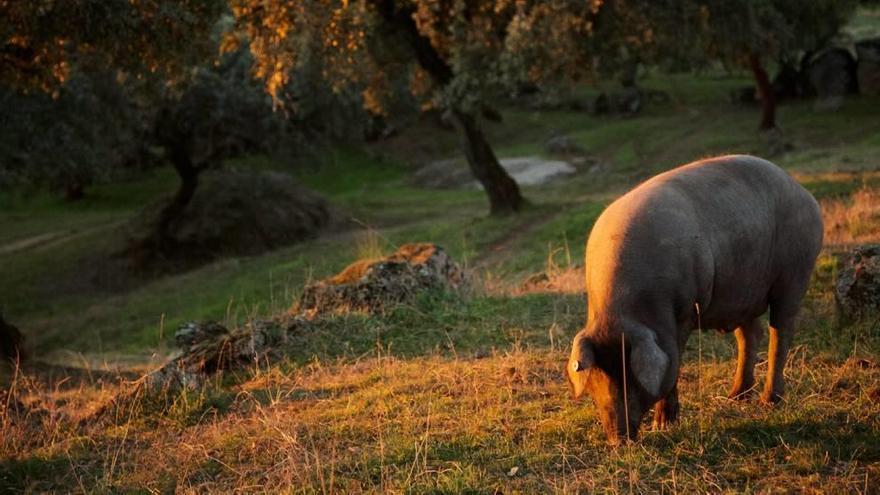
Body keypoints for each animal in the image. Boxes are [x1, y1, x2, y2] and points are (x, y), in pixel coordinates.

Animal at [568, 154, 820, 446]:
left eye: (631, 374)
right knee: (750, 334)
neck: (623, 310)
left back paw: (768, 402)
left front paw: (662, 426)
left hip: (795, 272)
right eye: (596, 376)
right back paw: (736, 397)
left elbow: (675, 362)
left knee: (781, 330)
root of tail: (804, 193)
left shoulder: (685, 312)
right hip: (742, 293)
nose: (617, 439)